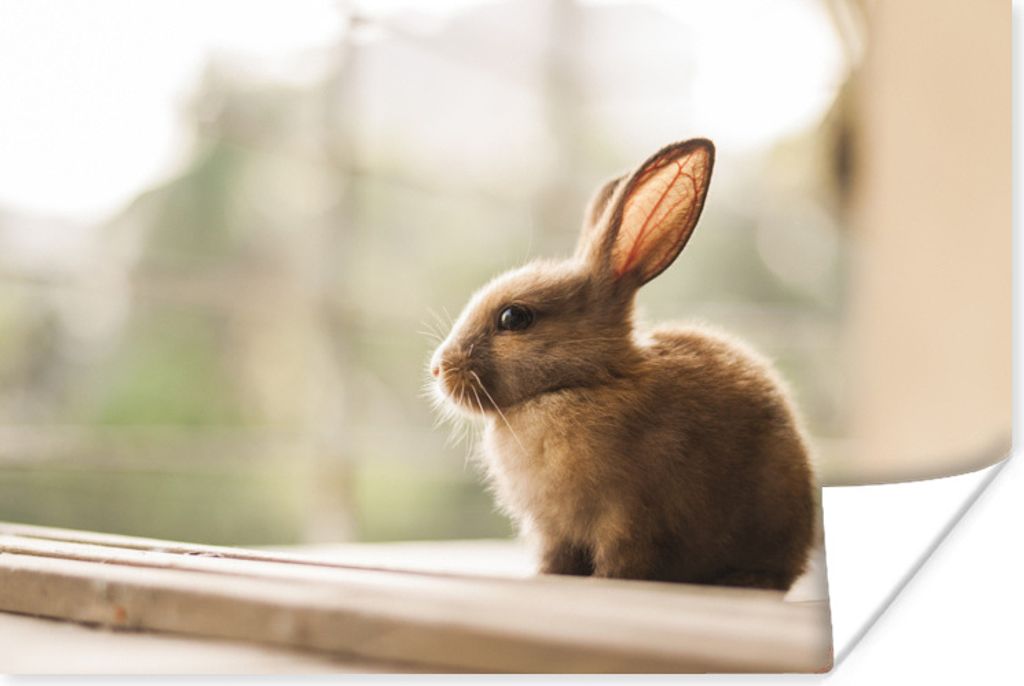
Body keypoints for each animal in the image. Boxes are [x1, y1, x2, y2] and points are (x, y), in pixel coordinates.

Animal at [428, 138, 817, 590]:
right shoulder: (555, 530)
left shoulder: (629, 516)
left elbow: (623, 559)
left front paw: (606, 581)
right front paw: (546, 577)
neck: (582, 381)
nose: (438, 369)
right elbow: (556, 558)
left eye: (514, 318)